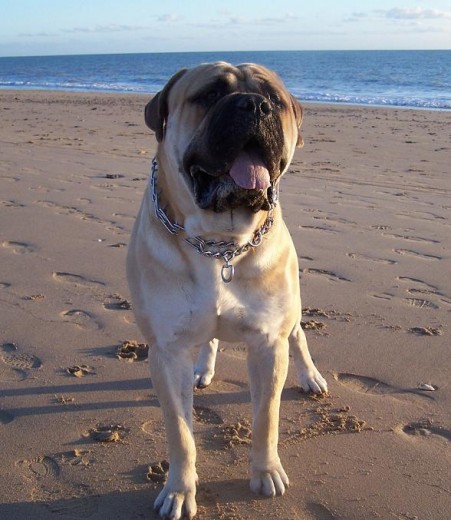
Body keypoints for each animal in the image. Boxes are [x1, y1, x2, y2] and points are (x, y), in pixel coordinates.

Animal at [127, 63, 328, 516]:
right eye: (210, 94)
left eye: (275, 99)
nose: (253, 105)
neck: (220, 242)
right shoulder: (166, 351)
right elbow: (180, 432)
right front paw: (179, 490)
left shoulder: (269, 342)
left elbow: (266, 417)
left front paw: (266, 471)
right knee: (211, 340)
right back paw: (204, 368)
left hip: (292, 310)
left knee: (300, 336)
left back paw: (311, 376)